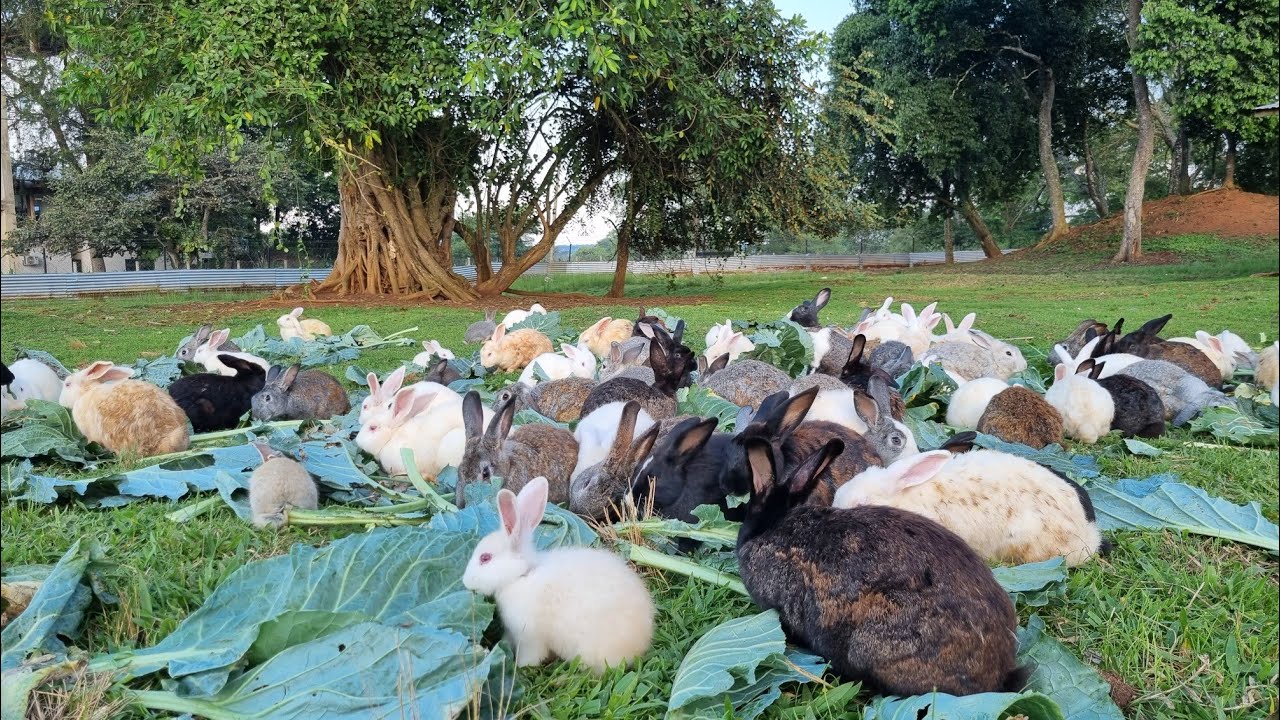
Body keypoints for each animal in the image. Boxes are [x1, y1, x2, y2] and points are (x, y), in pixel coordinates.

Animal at [462, 477, 656, 672]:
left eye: (485, 558)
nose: (465, 582)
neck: (521, 576)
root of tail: (640, 645)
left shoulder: (530, 638)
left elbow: (530, 656)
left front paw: (520, 666)